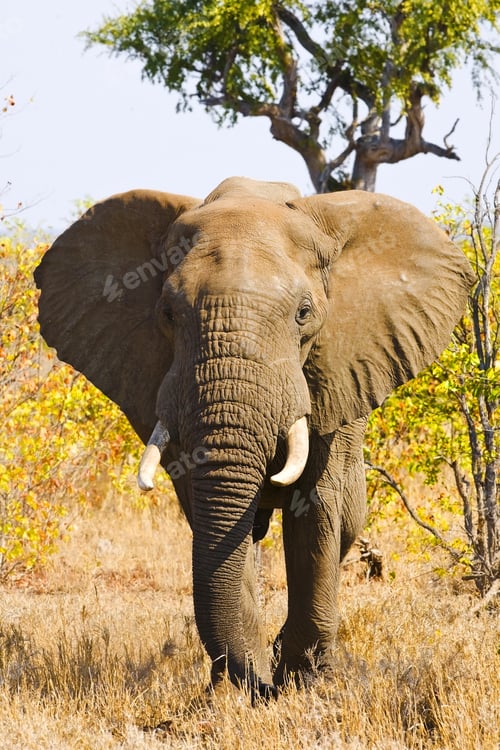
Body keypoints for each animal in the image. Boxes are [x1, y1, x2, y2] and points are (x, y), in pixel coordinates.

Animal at [35, 176, 474, 702]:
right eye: (167, 313)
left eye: (304, 313)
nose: (265, 686)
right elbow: (214, 517)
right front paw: (236, 691)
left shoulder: (336, 370)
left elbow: (317, 504)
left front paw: (304, 686)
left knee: (345, 521)